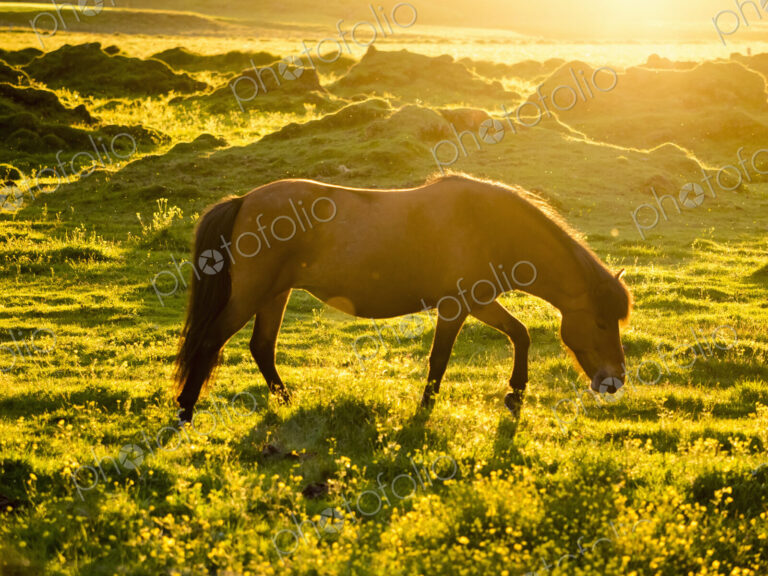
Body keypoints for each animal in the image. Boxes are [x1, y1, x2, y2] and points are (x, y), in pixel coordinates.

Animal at [173, 174, 632, 423]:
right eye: (601, 321)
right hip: (252, 295)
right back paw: (185, 411)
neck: (488, 224)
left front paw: (515, 396)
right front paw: (427, 408)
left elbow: (520, 334)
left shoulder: (478, 302)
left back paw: (287, 401)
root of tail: (244, 200)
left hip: (275, 294)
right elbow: (441, 358)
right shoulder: (461, 305)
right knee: (211, 341)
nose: (613, 381)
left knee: (262, 347)